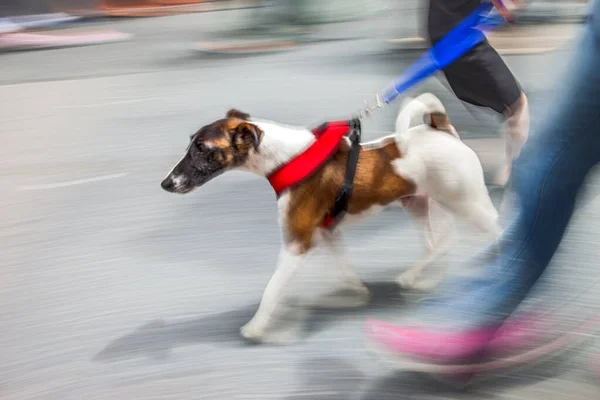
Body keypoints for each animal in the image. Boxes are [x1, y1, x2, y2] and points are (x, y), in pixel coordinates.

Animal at [161, 94, 502, 344]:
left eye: (202, 148)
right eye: (191, 142)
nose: (165, 183)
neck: (289, 158)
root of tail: (441, 128)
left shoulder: (297, 244)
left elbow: (272, 289)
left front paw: (257, 327)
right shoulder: (328, 233)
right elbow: (346, 271)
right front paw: (354, 295)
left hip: (467, 202)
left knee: (494, 229)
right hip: (419, 204)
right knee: (440, 244)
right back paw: (416, 277)